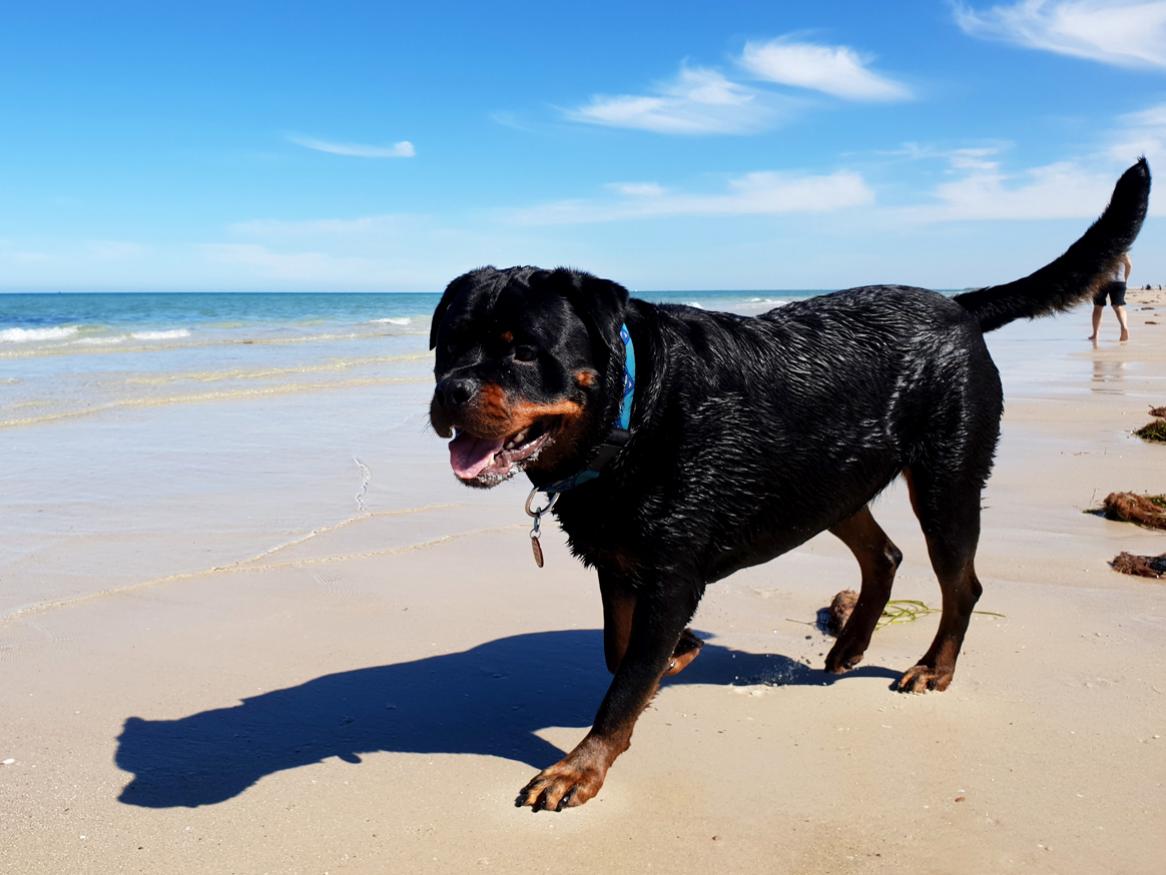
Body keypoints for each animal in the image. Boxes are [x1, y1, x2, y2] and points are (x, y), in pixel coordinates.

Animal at [426, 159, 1147, 816]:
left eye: (524, 351)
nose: (451, 390)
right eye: (447, 347)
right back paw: (851, 643)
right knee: (883, 554)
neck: (630, 416)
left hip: (944, 479)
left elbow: (624, 678)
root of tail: (956, 305)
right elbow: (616, 649)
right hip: (826, 479)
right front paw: (675, 659)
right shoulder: (617, 556)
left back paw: (934, 666)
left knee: (960, 582)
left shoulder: (669, 572)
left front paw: (582, 764)